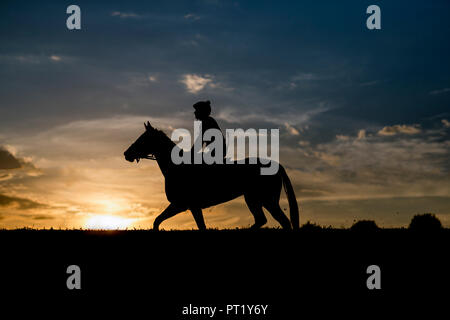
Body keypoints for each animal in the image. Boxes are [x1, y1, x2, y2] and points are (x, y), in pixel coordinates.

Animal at [124, 122, 298, 230]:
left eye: (143, 139)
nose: (127, 154)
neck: (176, 168)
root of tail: (276, 165)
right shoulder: (189, 206)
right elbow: (160, 221)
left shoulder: (182, 205)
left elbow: (158, 221)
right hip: (256, 199)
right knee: (266, 220)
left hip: (264, 200)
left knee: (279, 221)